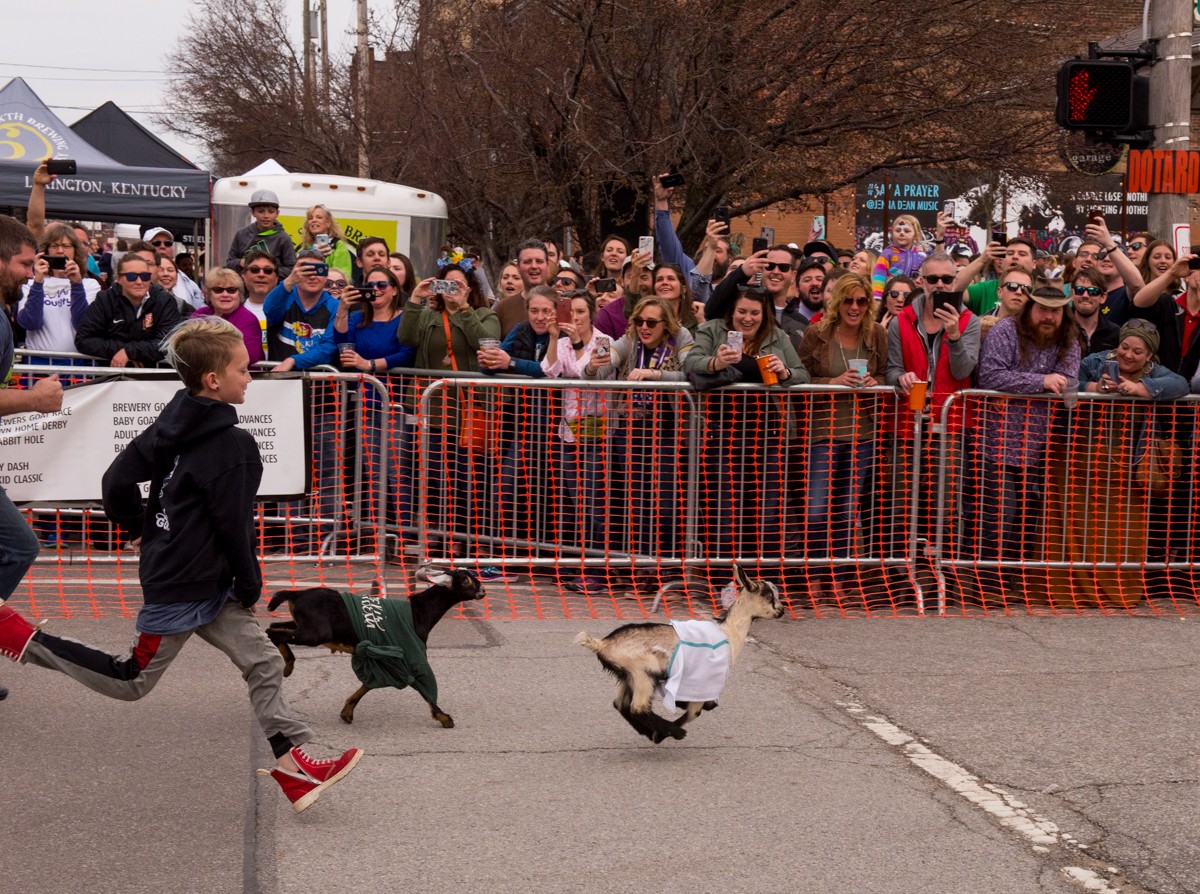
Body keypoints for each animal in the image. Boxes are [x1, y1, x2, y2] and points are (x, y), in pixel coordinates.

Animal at [267, 571, 482, 724]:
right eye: (466, 581)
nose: (483, 590)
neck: (418, 612)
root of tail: (297, 593)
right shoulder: (409, 656)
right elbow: (420, 684)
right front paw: (444, 717)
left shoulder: (384, 657)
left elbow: (370, 683)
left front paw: (347, 712)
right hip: (315, 634)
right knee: (273, 633)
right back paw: (288, 665)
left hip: (302, 626)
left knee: (273, 627)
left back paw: (287, 666)